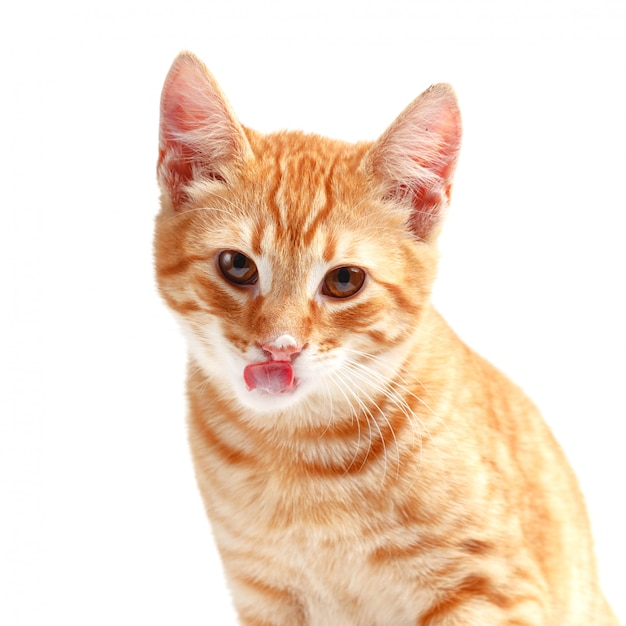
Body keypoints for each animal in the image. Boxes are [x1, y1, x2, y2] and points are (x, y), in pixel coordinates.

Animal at [155, 53, 616, 624]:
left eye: (344, 280)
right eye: (237, 266)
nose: (280, 347)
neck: (302, 450)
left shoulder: (493, 588)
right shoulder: (262, 593)